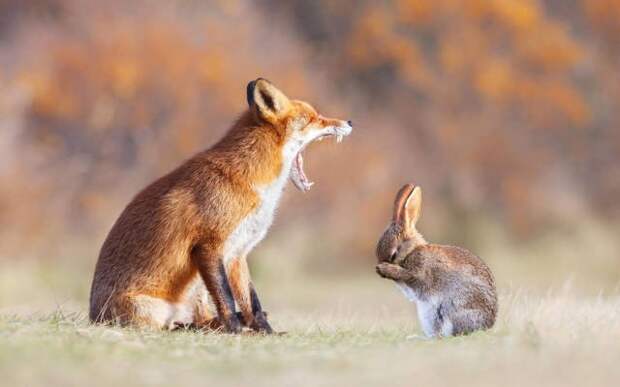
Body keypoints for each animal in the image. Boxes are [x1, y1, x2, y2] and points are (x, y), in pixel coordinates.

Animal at [89, 78, 356, 334]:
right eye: (314, 118)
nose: (350, 121)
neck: (252, 182)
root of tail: (94, 317)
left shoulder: (238, 252)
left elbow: (251, 302)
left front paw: (265, 332)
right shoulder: (208, 246)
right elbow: (226, 298)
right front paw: (236, 331)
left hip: (196, 290)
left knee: (199, 320)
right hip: (152, 309)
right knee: (172, 326)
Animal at [372, 183, 498, 338]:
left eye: (393, 254)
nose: (378, 266)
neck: (412, 250)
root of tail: (487, 326)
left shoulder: (420, 271)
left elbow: (409, 275)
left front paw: (385, 269)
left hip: (450, 309)